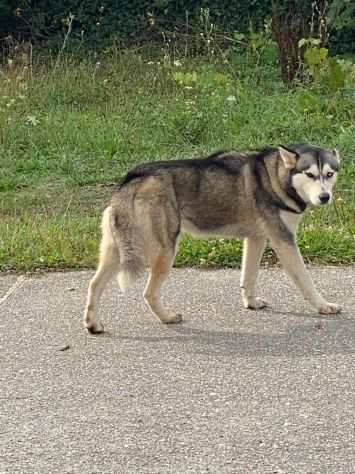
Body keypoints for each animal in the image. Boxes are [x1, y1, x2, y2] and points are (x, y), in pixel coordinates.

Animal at [84, 144, 342, 334]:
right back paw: (167, 317)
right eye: (310, 174)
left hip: (116, 252)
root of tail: (131, 179)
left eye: (329, 174)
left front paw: (250, 303)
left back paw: (92, 324)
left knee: (94, 284)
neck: (275, 176)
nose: (324, 197)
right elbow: (306, 282)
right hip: (163, 251)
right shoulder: (284, 241)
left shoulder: (256, 239)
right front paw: (323, 306)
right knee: (148, 292)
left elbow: (248, 277)